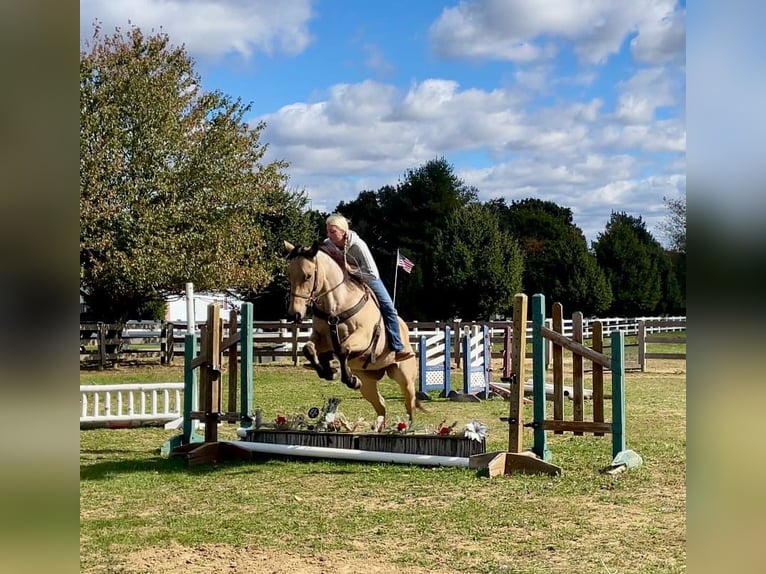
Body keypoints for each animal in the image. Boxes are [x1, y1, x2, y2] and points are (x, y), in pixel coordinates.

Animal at [284, 240, 426, 428]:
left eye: (307, 276)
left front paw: (349, 379)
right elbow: (309, 349)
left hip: (405, 379)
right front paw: (328, 371)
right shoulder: (321, 338)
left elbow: (343, 350)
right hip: (368, 385)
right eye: (289, 275)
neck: (336, 305)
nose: (295, 314)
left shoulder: (363, 336)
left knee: (410, 405)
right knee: (381, 406)